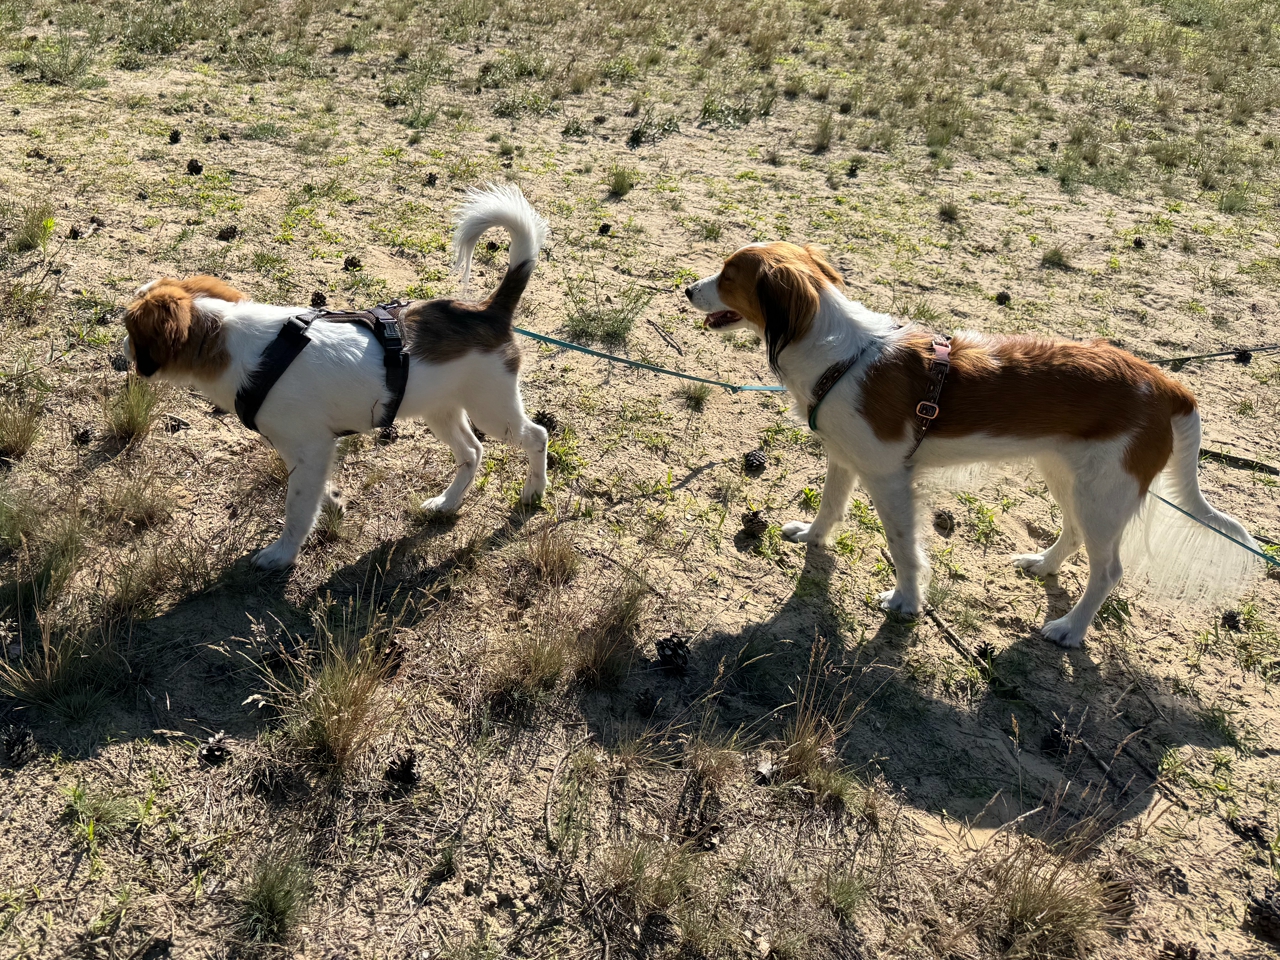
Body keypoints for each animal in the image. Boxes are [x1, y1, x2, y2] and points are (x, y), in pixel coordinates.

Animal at [122, 184, 552, 568]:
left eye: (130, 330)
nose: (124, 351)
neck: (236, 341)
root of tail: (488, 310)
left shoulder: (310, 445)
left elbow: (296, 508)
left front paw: (283, 554)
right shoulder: (303, 447)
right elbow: (313, 492)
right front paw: (332, 503)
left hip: (492, 409)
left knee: (536, 436)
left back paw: (533, 491)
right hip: (440, 409)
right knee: (472, 452)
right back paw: (446, 503)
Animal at [686, 241, 1254, 647]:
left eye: (728, 276)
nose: (689, 289)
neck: (839, 354)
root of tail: (1166, 384)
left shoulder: (890, 479)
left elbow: (903, 546)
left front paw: (907, 601)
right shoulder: (845, 458)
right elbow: (830, 507)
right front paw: (812, 537)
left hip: (1103, 494)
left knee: (1108, 570)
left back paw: (1070, 629)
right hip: (1069, 477)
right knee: (1072, 534)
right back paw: (1043, 565)